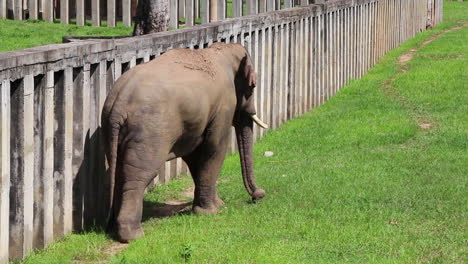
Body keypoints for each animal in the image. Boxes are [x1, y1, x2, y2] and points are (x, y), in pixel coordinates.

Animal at [103, 42, 268, 242]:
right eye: (252, 85)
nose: (258, 195)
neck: (220, 51)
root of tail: (119, 103)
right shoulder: (224, 105)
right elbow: (215, 149)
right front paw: (212, 212)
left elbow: (194, 156)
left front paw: (216, 205)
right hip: (148, 131)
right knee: (138, 175)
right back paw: (133, 236)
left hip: (110, 128)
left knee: (118, 170)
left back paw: (114, 229)